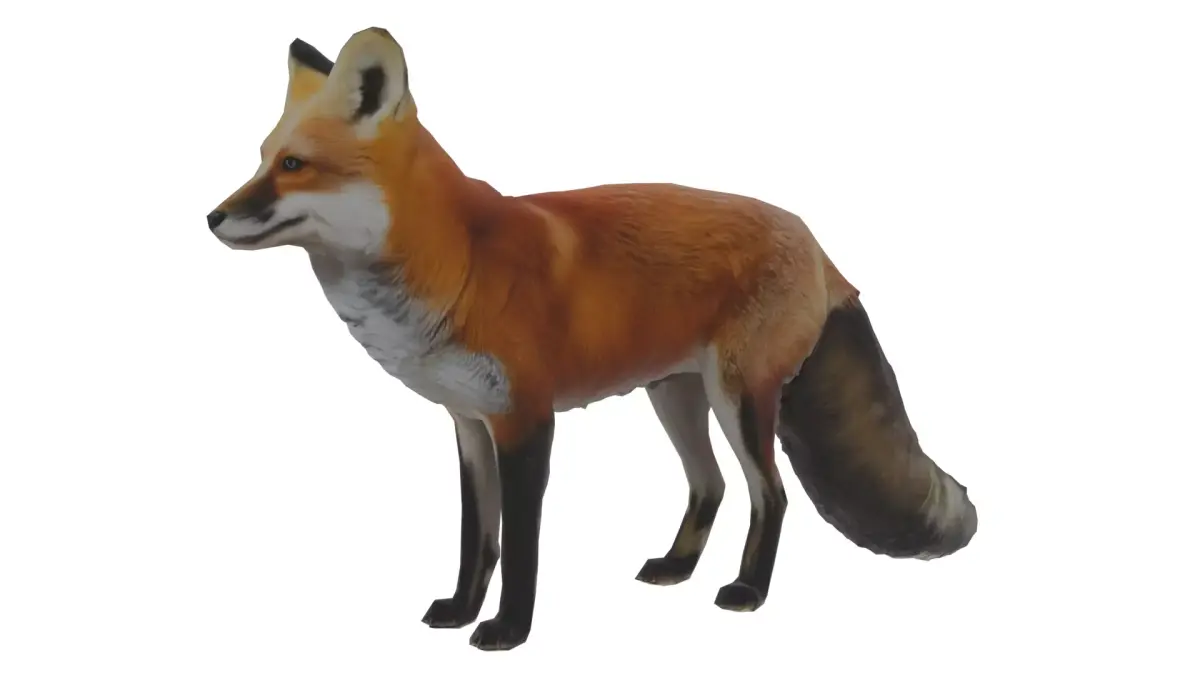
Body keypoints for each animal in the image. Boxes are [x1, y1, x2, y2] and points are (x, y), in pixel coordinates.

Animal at [208, 28, 977, 651]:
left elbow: (519, 546)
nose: (211, 216)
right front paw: (460, 609)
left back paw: (747, 591)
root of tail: (812, 236)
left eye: (294, 166)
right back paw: (677, 566)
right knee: (711, 484)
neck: (458, 262)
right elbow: (476, 538)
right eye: (261, 159)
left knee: (772, 494)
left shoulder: (526, 420)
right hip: (674, 397)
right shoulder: (469, 423)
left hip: (739, 399)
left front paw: (507, 631)